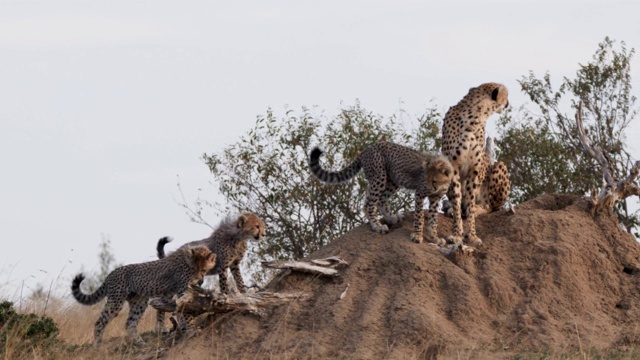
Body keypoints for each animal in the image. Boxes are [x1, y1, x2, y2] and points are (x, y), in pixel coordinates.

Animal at [71, 245, 214, 346]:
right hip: (116, 301)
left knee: (130, 323)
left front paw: (184, 327)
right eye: (194, 269)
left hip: (139, 302)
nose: (199, 280)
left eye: (203, 270)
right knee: (100, 321)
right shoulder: (181, 290)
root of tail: (110, 274)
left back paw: (141, 344)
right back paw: (97, 345)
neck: (186, 261)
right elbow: (184, 310)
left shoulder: (173, 292)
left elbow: (178, 310)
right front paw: (190, 328)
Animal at [308, 141, 450, 245]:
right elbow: (420, 216)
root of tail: (368, 147)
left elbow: (433, 219)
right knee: (369, 204)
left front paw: (434, 237)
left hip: (392, 180)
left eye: (434, 180)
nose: (429, 187)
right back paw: (377, 226)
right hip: (379, 177)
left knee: (381, 200)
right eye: (425, 179)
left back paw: (391, 218)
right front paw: (417, 235)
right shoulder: (420, 194)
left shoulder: (435, 198)